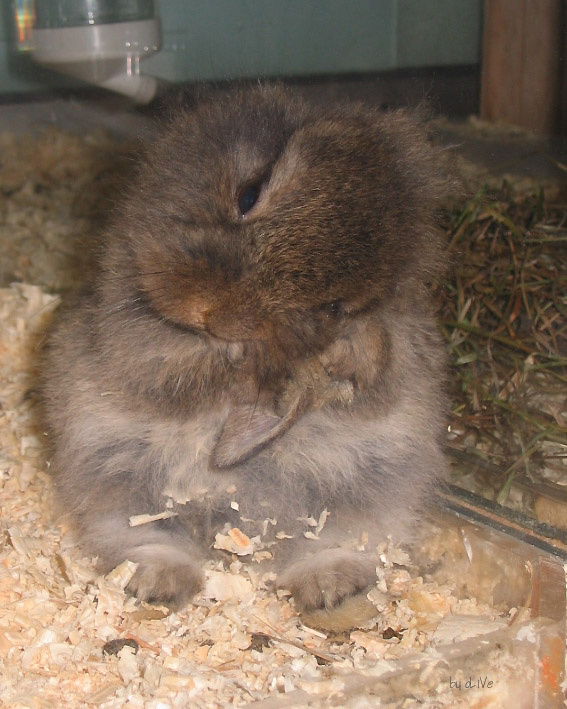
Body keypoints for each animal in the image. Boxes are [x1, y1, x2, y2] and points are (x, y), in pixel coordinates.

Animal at [41, 84, 452, 612]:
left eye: (335, 305)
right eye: (248, 194)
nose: (212, 316)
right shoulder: (135, 339)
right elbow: (177, 371)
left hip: (372, 496)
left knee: (336, 545)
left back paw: (331, 586)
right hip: (121, 485)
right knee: (145, 540)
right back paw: (157, 581)